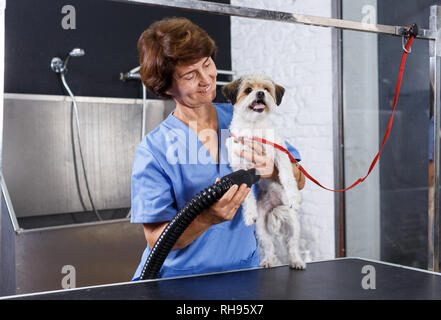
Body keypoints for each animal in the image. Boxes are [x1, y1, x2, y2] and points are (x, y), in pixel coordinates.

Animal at [222, 74, 304, 270]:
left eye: (266, 89)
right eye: (248, 90)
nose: (260, 93)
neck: (253, 128)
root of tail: (274, 206)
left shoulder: (280, 152)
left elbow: (287, 176)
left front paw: (294, 197)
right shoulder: (240, 167)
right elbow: (246, 195)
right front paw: (249, 213)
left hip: (293, 224)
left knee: (292, 245)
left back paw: (297, 261)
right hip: (261, 229)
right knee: (269, 246)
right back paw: (268, 261)